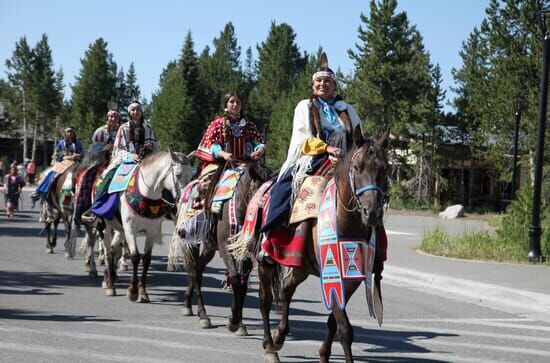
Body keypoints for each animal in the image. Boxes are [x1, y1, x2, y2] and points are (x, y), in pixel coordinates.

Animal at [101, 150, 194, 302]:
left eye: (191, 176)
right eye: (178, 174)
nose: (184, 199)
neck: (147, 194)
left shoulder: (151, 232)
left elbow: (146, 260)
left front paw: (143, 292)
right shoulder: (130, 230)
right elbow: (135, 257)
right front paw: (133, 291)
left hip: (120, 229)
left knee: (114, 249)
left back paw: (111, 279)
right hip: (107, 226)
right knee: (107, 251)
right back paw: (109, 284)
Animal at [174, 164, 272, 334]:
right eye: (259, 194)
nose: (263, 226)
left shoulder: (245, 253)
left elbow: (243, 285)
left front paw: (239, 322)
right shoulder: (226, 248)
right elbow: (235, 279)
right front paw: (233, 321)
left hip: (209, 248)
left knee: (197, 270)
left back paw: (189, 305)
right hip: (191, 241)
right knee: (194, 271)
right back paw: (203, 316)